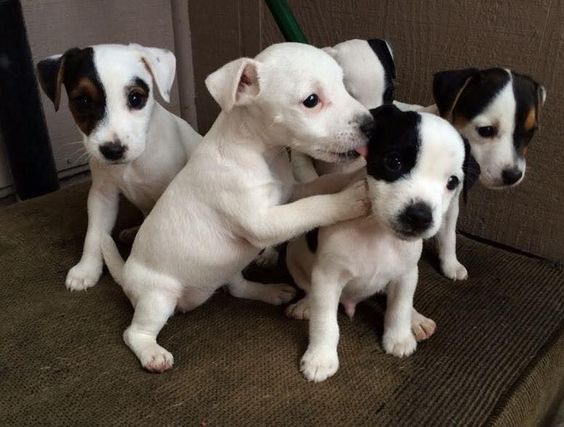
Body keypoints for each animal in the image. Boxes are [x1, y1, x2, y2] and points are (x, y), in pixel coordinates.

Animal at [36, 44, 203, 290]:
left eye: (135, 98)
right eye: (82, 101)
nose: (113, 150)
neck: (133, 164)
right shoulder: (102, 195)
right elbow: (94, 234)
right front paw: (87, 269)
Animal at [100, 41, 374, 372]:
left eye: (344, 85)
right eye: (311, 100)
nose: (372, 126)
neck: (261, 151)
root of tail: (127, 274)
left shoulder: (289, 192)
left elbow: (319, 187)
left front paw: (354, 177)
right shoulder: (263, 221)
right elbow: (312, 207)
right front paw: (351, 199)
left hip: (226, 269)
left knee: (236, 287)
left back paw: (270, 291)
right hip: (157, 297)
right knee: (134, 332)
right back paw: (151, 352)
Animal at [284, 104, 474, 384]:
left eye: (452, 182)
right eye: (393, 162)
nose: (420, 216)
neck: (377, 232)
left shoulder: (406, 275)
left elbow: (399, 307)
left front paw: (399, 337)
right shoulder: (327, 278)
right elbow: (325, 322)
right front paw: (320, 358)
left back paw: (416, 320)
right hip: (294, 257)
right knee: (309, 289)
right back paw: (306, 303)